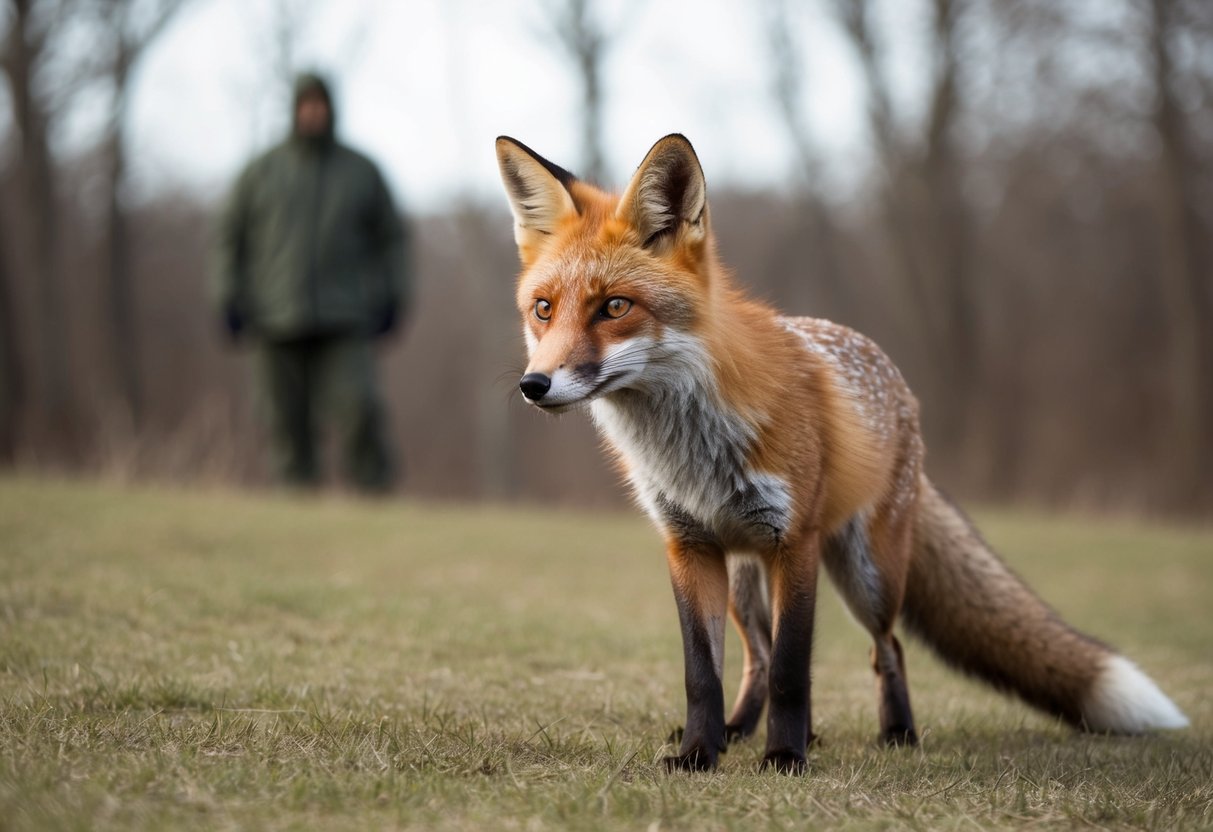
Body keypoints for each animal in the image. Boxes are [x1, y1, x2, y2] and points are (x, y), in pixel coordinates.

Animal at [494, 133, 1189, 773]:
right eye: (543, 309)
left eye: (615, 306)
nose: (534, 385)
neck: (690, 446)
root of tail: (897, 382)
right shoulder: (688, 545)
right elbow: (704, 674)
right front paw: (700, 753)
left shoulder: (794, 542)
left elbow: (794, 670)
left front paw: (786, 757)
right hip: (745, 579)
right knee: (757, 657)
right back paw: (740, 731)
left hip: (866, 573)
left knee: (885, 649)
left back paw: (895, 733)